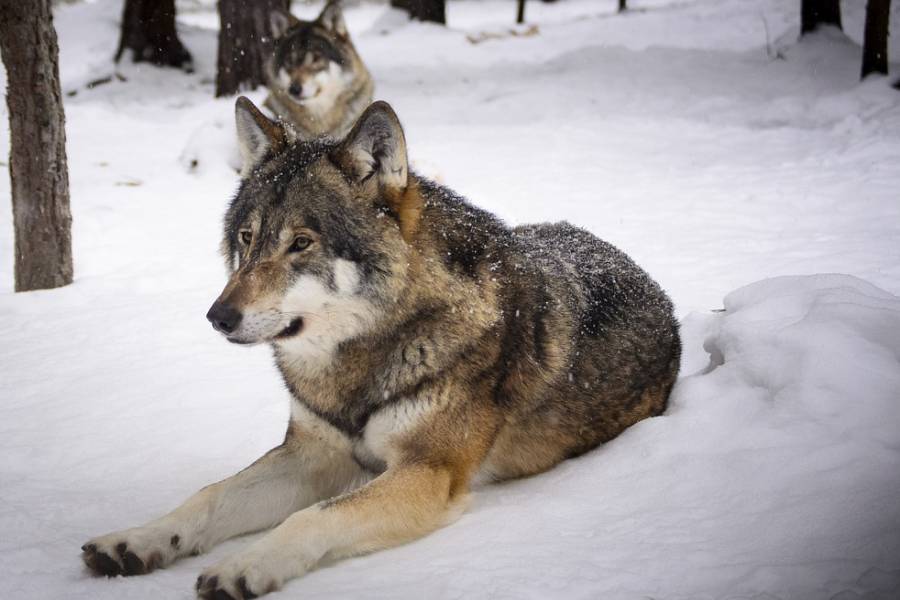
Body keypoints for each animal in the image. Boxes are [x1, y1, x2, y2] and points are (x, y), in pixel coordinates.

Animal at [82, 96, 684, 596]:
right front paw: (137, 540)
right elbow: (212, 494)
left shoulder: (427, 473)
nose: (218, 317)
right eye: (248, 239)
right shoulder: (311, 454)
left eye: (301, 243)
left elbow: (314, 516)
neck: (363, 354)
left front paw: (243, 566)